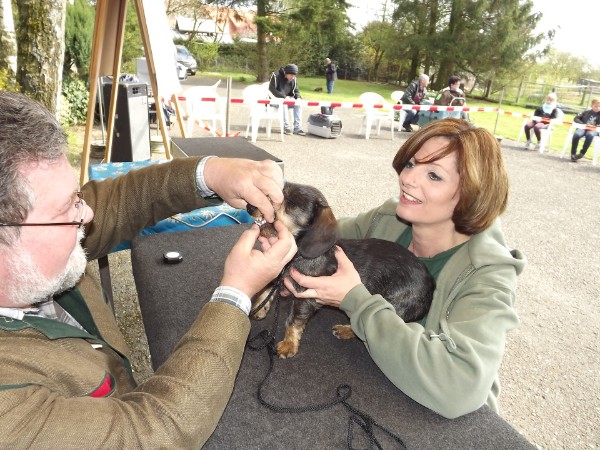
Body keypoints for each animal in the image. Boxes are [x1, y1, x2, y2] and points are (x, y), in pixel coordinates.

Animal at [246, 182, 435, 358]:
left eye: (291, 203)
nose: (249, 206)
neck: (297, 255)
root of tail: (431, 284)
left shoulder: (306, 297)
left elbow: (294, 320)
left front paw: (288, 344)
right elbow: (267, 289)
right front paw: (260, 308)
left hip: (394, 303)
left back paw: (347, 330)